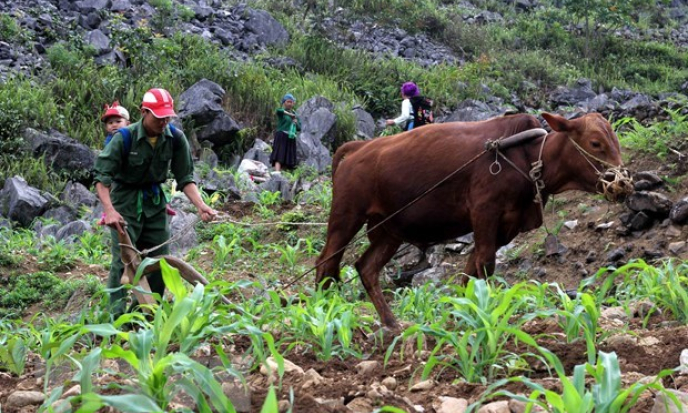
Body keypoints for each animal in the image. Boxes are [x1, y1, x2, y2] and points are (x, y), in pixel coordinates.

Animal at [318, 112, 628, 328]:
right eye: (595, 143)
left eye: (616, 141)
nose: (623, 182)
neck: (527, 157)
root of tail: (357, 148)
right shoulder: (484, 214)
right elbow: (485, 266)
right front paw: (484, 314)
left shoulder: (505, 227)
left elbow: (469, 272)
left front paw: (463, 314)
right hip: (345, 219)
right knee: (325, 264)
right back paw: (322, 315)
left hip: (388, 230)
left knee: (366, 268)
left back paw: (392, 323)